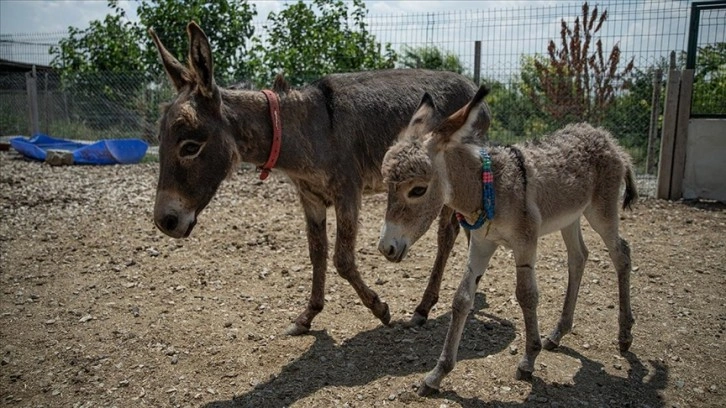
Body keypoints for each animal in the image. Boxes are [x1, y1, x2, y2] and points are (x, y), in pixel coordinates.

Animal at [378, 86, 640, 396]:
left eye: (418, 190)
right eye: (387, 187)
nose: (386, 248)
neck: (487, 187)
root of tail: (607, 138)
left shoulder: (525, 242)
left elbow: (526, 295)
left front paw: (528, 360)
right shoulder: (481, 244)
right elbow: (462, 299)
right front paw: (437, 374)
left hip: (601, 211)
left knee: (621, 254)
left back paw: (624, 335)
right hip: (570, 217)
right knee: (579, 257)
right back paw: (558, 333)